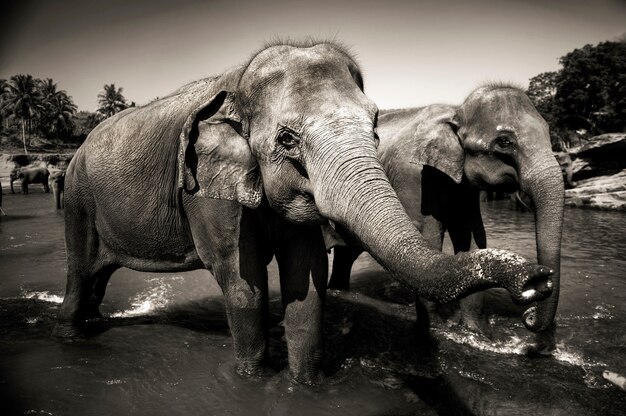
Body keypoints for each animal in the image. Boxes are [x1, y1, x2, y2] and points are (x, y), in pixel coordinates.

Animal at [326, 83, 560, 352]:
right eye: (504, 142)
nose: (529, 316)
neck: (456, 112)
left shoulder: (466, 189)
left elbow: (472, 237)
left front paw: (477, 335)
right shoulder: (413, 177)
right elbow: (428, 235)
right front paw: (434, 330)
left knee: (346, 253)